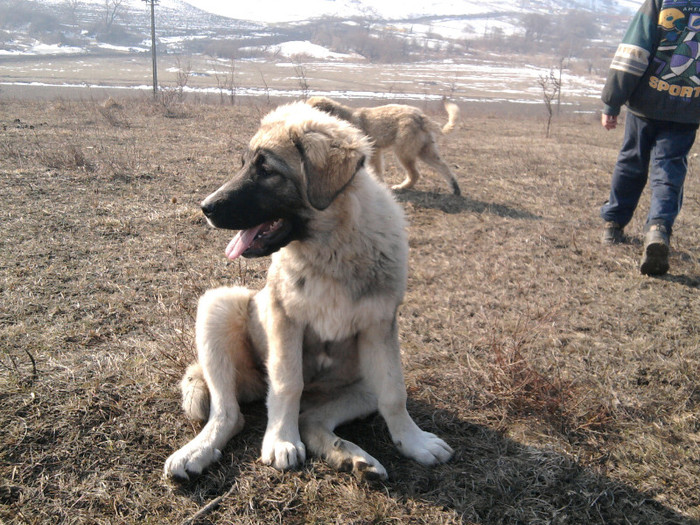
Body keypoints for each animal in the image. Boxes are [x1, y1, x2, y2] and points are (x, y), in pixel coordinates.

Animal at [304, 96, 460, 194]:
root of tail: (420, 116)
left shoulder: (370, 152)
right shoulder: (376, 151)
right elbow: (377, 170)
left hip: (404, 152)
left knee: (415, 173)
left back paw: (401, 187)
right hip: (425, 151)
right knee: (443, 166)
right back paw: (455, 188)